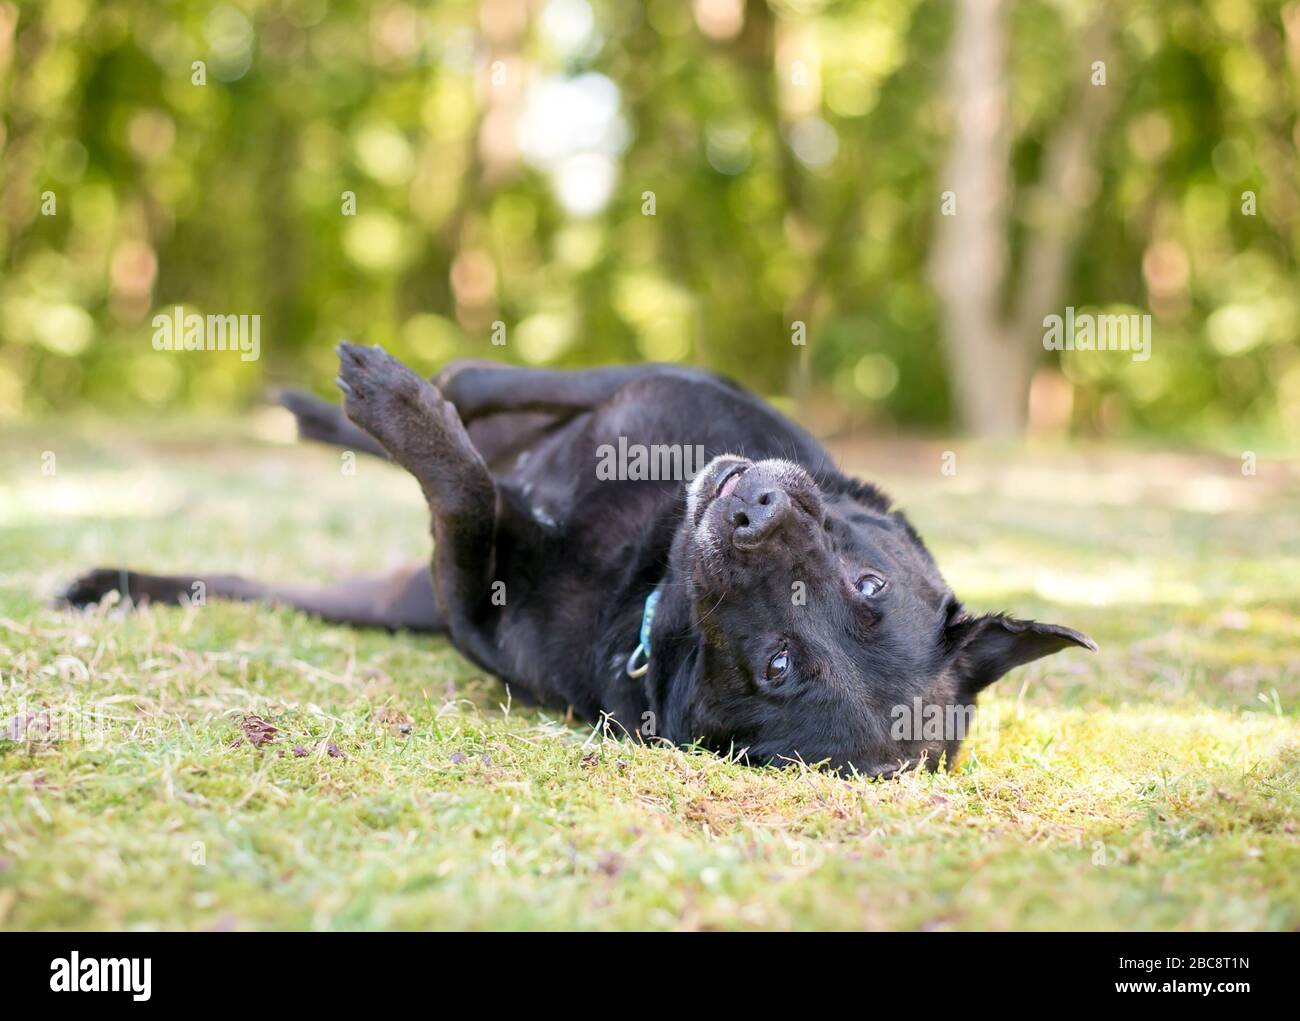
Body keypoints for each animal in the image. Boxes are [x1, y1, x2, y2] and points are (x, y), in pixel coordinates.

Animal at [63, 345, 1097, 775]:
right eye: (867, 585)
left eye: (781, 667)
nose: (750, 510)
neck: (642, 576)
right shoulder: (648, 383)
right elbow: (481, 383)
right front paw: (393, 401)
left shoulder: (469, 596)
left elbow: (469, 492)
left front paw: (402, 410)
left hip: (388, 602)